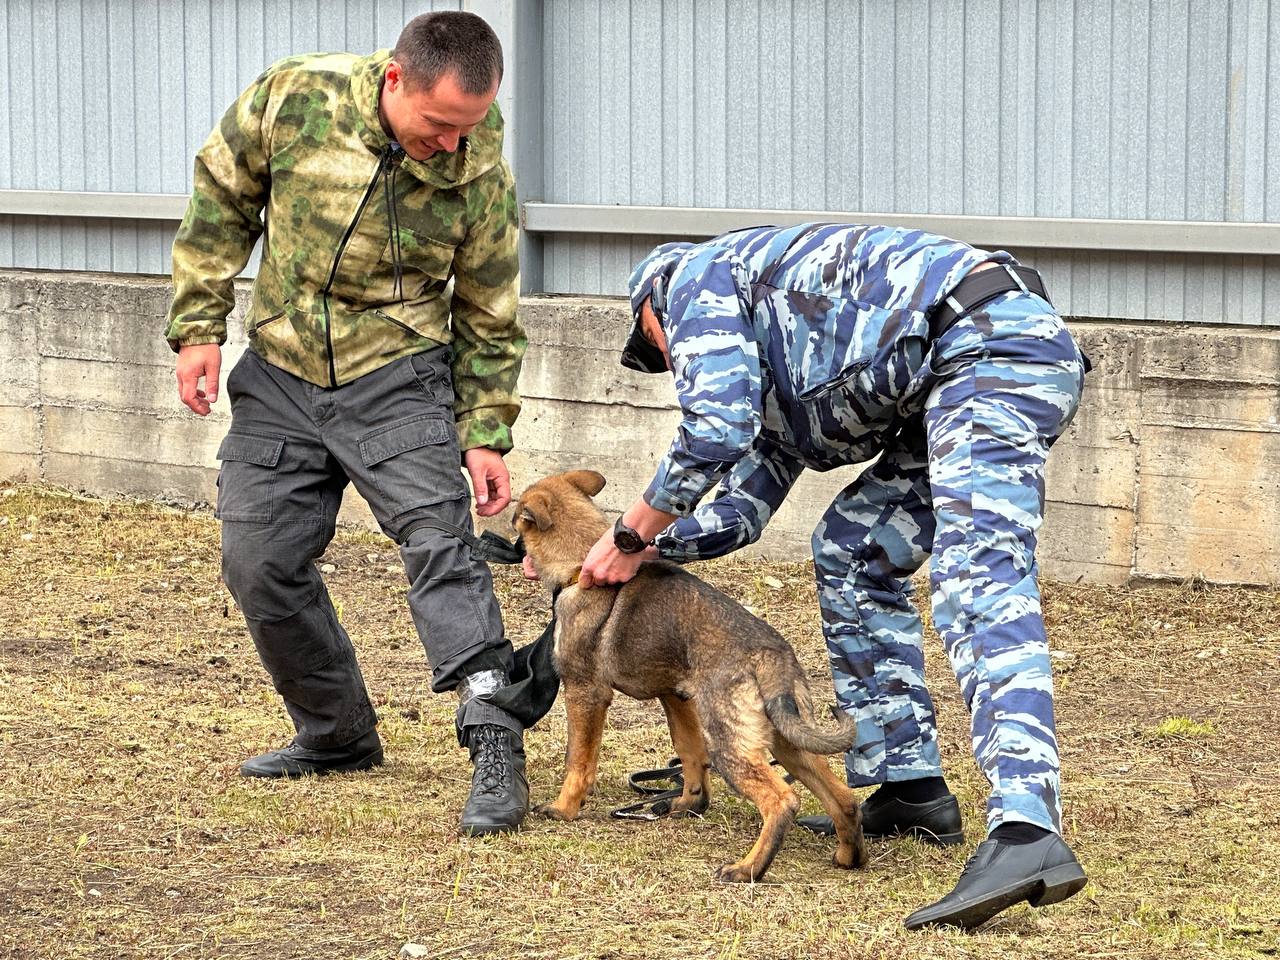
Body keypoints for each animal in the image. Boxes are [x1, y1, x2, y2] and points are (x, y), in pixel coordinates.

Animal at [512, 471, 870, 885]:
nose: (510, 548)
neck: (580, 559)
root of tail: (771, 656)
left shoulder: (585, 692)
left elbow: (578, 760)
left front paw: (564, 807)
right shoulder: (676, 696)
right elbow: (688, 751)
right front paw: (688, 802)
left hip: (731, 743)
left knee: (782, 800)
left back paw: (748, 868)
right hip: (786, 739)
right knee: (843, 798)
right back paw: (848, 856)